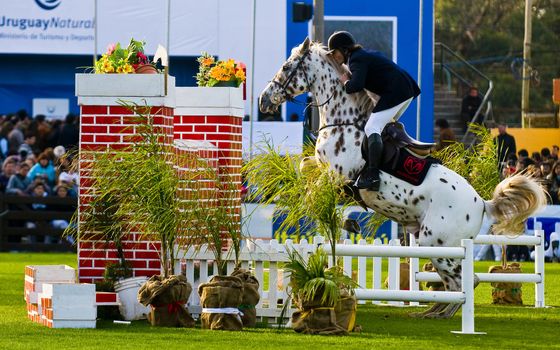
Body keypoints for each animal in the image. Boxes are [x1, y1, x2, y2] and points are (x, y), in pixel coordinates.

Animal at [260, 37, 548, 318]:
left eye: (286, 67)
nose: (264, 100)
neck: (343, 122)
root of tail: (482, 203)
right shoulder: (325, 170)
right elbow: (304, 168)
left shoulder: (337, 176)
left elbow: (311, 193)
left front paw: (347, 222)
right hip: (434, 245)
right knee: (457, 283)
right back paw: (432, 311)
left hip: (437, 244)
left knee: (464, 282)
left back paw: (440, 314)